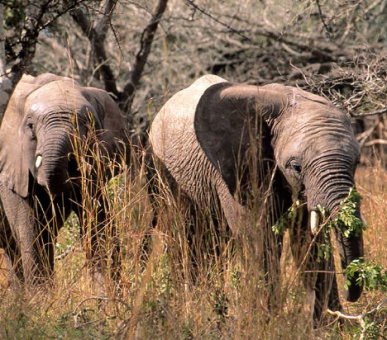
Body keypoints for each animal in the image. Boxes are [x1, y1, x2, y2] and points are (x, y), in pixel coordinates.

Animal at [150, 74, 368, 324]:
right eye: (296, 167)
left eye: (356, 162)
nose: (349, 292)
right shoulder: (236, 171)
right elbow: (260, 238)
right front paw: (268, 323)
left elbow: (309, 240)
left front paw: (329, 325)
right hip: (165, 175)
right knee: (185, 236)